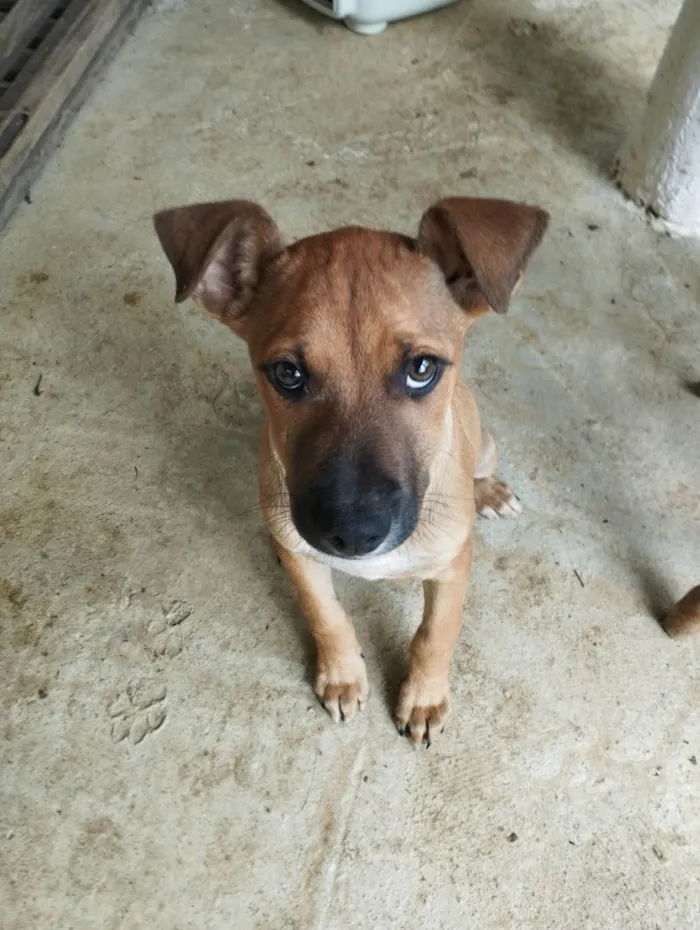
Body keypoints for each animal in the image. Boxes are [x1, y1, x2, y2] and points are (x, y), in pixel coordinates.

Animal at [156, 198, 548, 748]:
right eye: (288, 374)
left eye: (422, 369)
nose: (354, 535)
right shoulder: (305, 560)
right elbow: (327, 616)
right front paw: (342, 676)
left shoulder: (452, 566)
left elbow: (436, 633)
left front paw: (423, 697)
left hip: (486, 445)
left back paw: (490, 491)